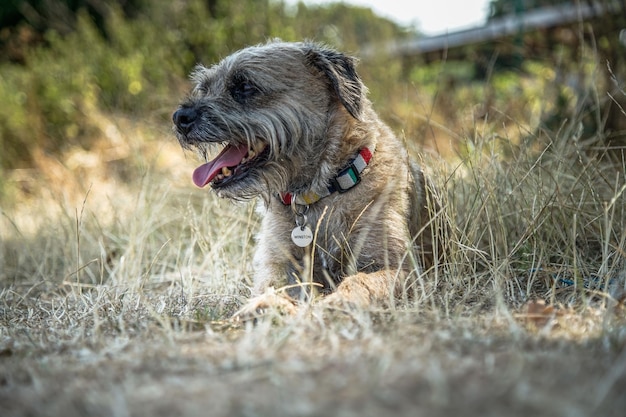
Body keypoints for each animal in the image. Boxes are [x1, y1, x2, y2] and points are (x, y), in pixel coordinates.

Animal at [171, 41, 444, 316]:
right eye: (204, 88)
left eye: (244, 87)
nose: (179, 117)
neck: (320, 193)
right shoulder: (278, 263)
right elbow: (273, 286)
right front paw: (265, 304)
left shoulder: (404, 271)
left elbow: (361, 281)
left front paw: (337, 302)